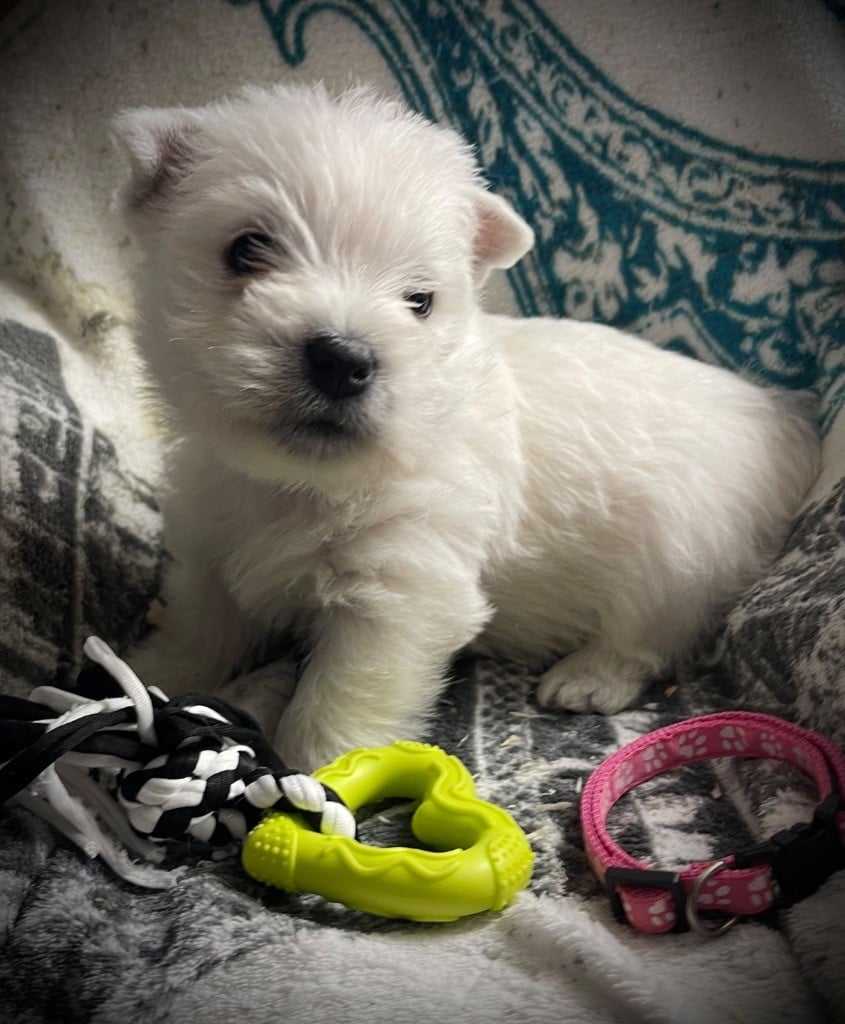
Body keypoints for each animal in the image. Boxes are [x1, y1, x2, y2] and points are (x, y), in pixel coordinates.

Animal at [114, 84, 819, 770]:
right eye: (247, 249)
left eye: (419, 300)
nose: (344, 359)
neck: (299, 485)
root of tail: (781, 418)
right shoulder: (211, 549)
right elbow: (197, 627)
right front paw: (145, 673)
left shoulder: (402, 589)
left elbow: (337, 700)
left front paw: (314, 777)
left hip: (683, 551)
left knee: (653, 634)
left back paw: (587, 677)